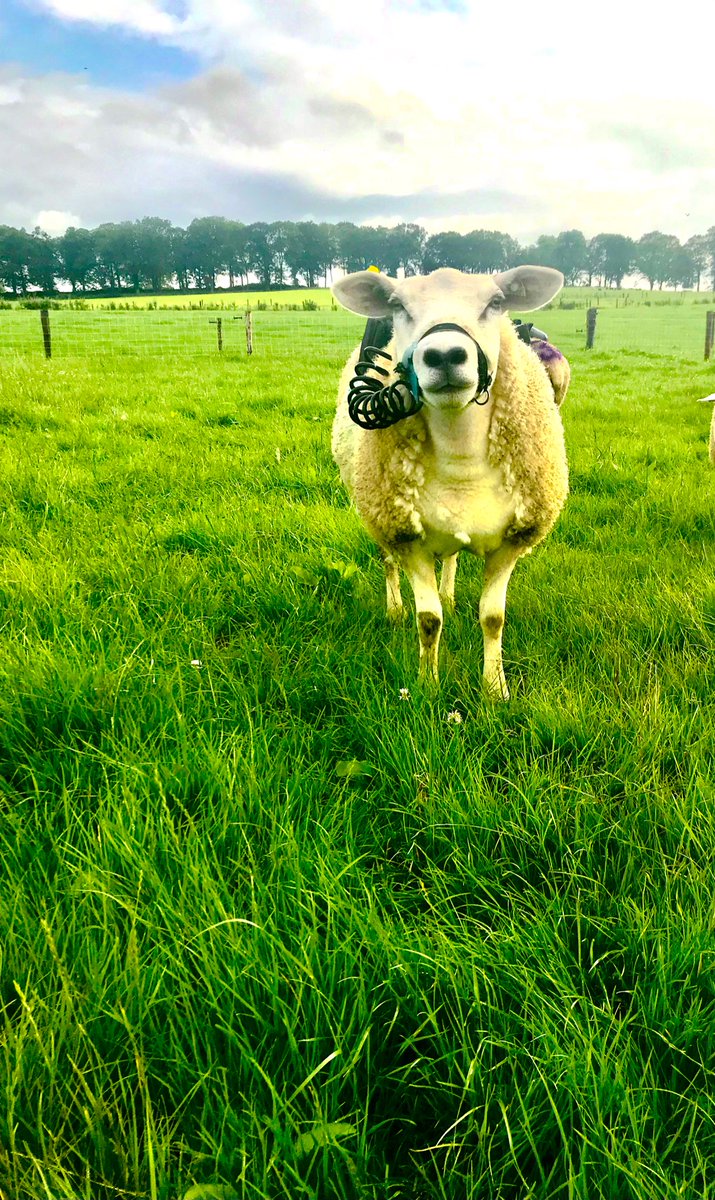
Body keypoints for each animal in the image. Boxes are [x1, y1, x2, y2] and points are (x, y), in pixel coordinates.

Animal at [331, 265, 570, 700]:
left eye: (496, 302)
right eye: (398, 306)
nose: (444, 355)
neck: (461, 458)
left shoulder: (512, 541)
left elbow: (493, 618)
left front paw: (495, 690)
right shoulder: (407, 537)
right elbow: (429, 620)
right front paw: (427, 685)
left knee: (453, 557)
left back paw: (449, 592)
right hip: (376, 511)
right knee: (387, 563)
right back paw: (394, 609)